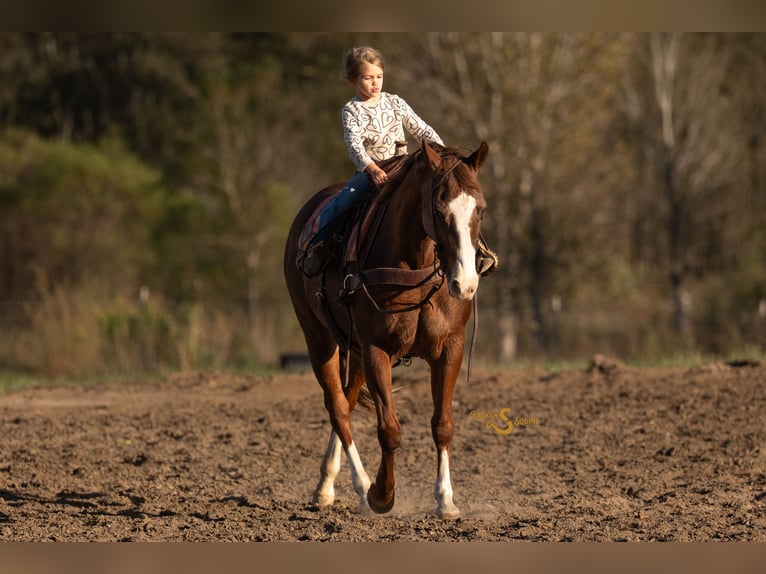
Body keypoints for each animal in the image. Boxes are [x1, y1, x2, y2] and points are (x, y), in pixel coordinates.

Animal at [283, 139, 489, 518]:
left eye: (480, 209)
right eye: (439, 209)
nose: (465, 283)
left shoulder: (450, 348)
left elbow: (443, 425)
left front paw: (446, 500)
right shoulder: (377, 350)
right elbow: (389, 429)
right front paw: (381, 494)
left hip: (354, 351)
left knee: (347, 402)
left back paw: (326, 485)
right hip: (319, 339)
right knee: (337, 407)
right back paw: (357, 486)